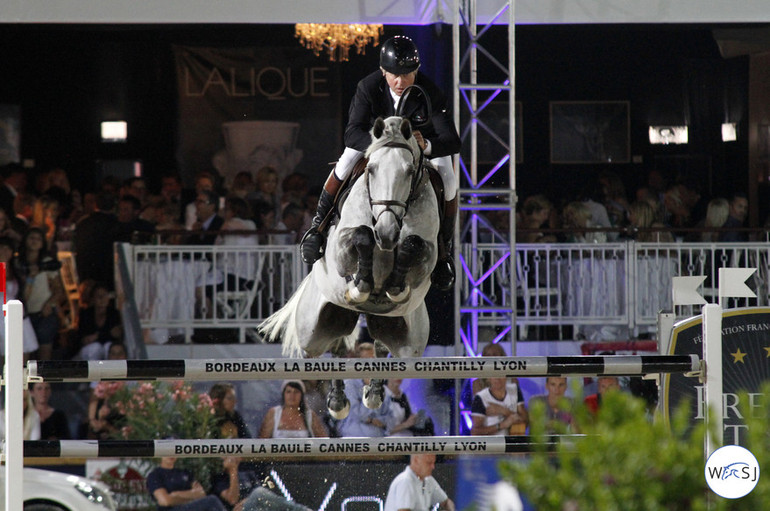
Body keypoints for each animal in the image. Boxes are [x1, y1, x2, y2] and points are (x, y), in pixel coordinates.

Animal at [260, 117, 436, 420]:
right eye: (371, 169)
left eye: (409, 170)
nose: (386, 233)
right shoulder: (341, 247)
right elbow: (361, 236)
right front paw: (362, 285)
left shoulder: (429, 254)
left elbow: (413, 245)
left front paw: (394, 286)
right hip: (312, 333)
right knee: (334, 347)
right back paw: (337, 402)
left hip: (409, 344)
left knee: (380, 347)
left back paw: (372, 394)